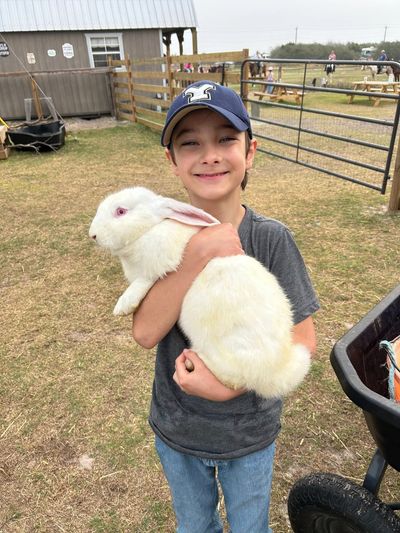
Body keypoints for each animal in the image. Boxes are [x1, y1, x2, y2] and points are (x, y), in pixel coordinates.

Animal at [89, 186, 311, 399]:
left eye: (120, 211)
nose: (93, 235)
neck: (149, 230)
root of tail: (275, 371)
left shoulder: (160, 265)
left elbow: (142, 281)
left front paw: (123, 305)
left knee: (234, 380)